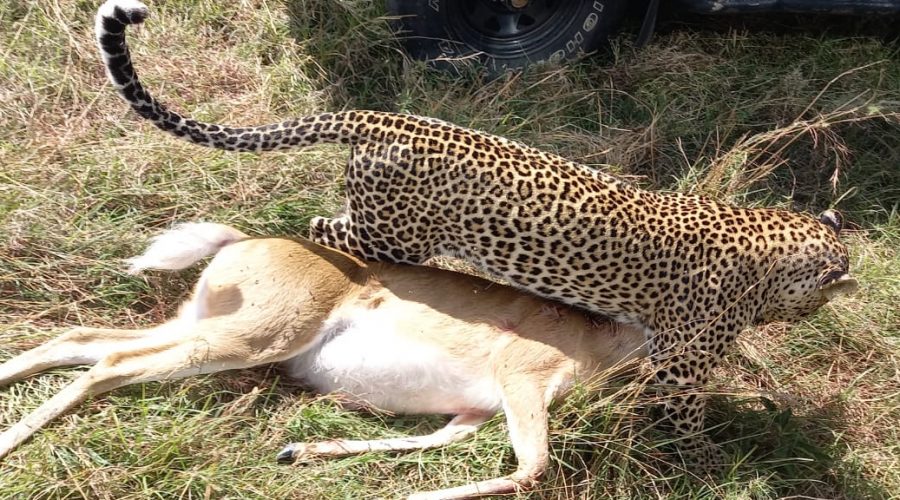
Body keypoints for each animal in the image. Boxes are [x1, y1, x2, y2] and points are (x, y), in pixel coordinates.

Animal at [96, 0, 858, 471]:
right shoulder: (679, 365)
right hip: (390, 234)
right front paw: (713, 465)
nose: (813, 313)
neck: (770, 246)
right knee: (323, 230)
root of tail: (382, 116)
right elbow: (693, 419)